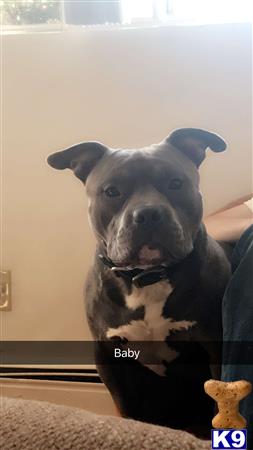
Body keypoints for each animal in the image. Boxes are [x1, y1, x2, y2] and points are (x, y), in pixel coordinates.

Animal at [47, 128, 231, 438]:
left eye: (175, 183)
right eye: (112, 191)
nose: (148, 213)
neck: (146, 276)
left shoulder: (214, 344)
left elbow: (220, 399)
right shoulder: (108, 356)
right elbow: (125, 408)